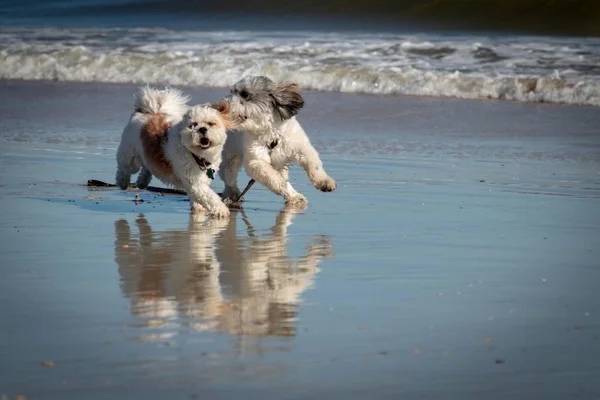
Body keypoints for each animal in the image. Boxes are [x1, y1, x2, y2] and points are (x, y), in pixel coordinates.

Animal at [116, 86, 233, 219]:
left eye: (211, 124)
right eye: (193, 125)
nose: (202, 129)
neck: (196, 155)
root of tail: (146, 112)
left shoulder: (200, 181)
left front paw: (198, 207)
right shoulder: (195, 183)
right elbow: (209, 197)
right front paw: (221, 209)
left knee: (147, 166)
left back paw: (142, 182)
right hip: (130, 154)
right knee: (125, 167)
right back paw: (122, 182)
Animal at [218, 76, 336, 206]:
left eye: (245, 94)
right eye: (232, 92)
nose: (222, 104)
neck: (271, 133)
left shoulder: (301, 148)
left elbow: (314, 165)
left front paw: (324, 182)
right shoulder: (256, 162)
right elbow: (276, 180)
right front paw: (288, 190)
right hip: (230, 157)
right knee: (228, 177)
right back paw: (232, 194)